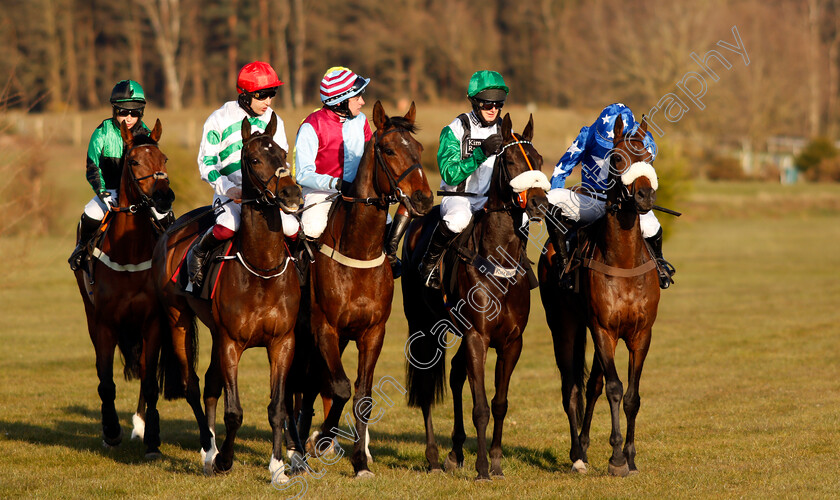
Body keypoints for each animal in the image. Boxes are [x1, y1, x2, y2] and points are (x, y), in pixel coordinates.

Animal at [73, 118, 175, 458]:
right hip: (91, 315)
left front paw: (152, 438)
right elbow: (105, 381)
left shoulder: (152, 321)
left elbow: (150, 381)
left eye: (164, 159)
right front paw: (111, 431)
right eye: (133, 161)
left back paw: (140, 426)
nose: (164, 198)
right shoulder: (104, 322)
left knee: (144, 371)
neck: (128, 252)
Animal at [153, 114, 304, 480]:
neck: (261, 269)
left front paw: (278, 466)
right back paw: (209, 450)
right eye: (254, 159)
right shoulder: (231, 343)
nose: (292, 194)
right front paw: (224, 459)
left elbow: (277, 407)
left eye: (282, 152)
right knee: (193, 384)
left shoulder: (282, 342)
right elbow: (234, 411)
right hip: (178, 319)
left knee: (209, 383)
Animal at [288, 100, 434, 476]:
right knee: (298, 386)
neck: (358, 251)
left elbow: (362, 395)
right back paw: (297, 447)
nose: (424, 199)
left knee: (310, 386)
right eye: (389, 149)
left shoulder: (372, 332)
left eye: (420, 148)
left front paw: (359, 460)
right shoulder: (324, 328)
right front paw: (319, 440)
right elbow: (339, 388)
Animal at [402, 113, 552, 480]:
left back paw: (455, 453)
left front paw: (495, 461)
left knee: (456, 375)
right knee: (427, 387)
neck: (498, 261)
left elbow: (499, 403)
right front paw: (482, 467)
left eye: (539, 160)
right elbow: (481, 406)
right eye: (510, 161)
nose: (539, 204)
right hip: (423, 327)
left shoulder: (512, 342)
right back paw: (432, 457)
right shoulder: (477, 337)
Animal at [540, 116, 664, 476]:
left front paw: (630, 457)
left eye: (648, 158)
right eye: (618, 159)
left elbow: (631, 395)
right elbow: (614, 388)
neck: (623, 261)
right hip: (565, 326)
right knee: (571, 387)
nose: (645, 196)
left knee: (591, 385)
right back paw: (577, 455)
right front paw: (617, 458)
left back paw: (583, 445)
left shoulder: (641, 333)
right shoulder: (603, 329)